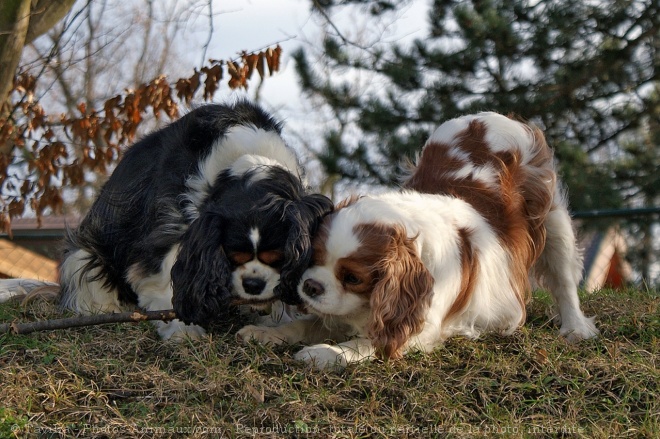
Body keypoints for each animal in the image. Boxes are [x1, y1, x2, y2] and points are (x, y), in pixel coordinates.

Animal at [58, 100, 332, 340]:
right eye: (234, 255)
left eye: (277, 257)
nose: (253, 285)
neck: (248, 157)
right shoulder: (169, 226)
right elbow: (165, 273)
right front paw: (182, 329)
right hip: (85, 253)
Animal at [237, 111, 600, 370]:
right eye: (313, 259)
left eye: (353, 278)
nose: (310, 286)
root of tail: (487, 117)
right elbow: (305, 324)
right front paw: (267, 333)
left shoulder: (421, 326)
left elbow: (368, 344)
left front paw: (324, 354)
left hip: (553, 218)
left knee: (564, 280)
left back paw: (575, 328)